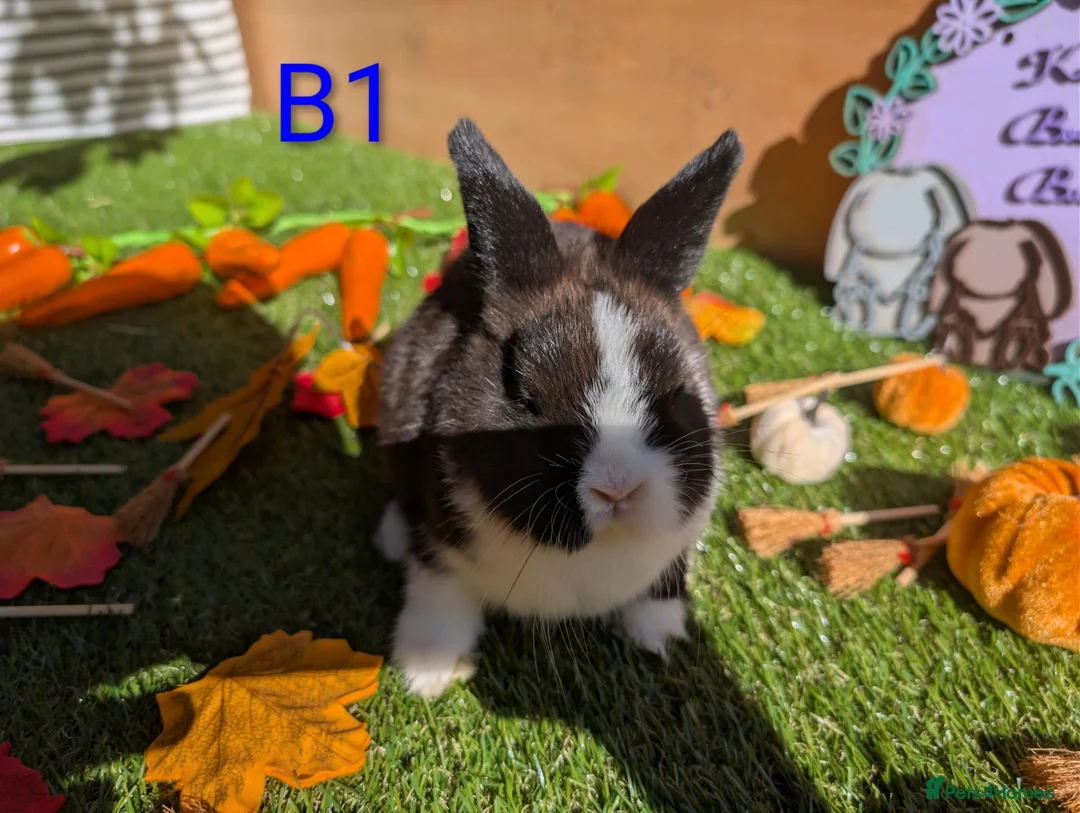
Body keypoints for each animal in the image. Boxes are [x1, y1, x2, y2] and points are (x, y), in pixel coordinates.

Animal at [374, 118, 743, 698]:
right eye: (524, 395)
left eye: (675, 391)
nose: (618, 489)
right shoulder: (439, 545)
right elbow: (439, 598)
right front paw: (428, 674)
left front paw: (659, 638)